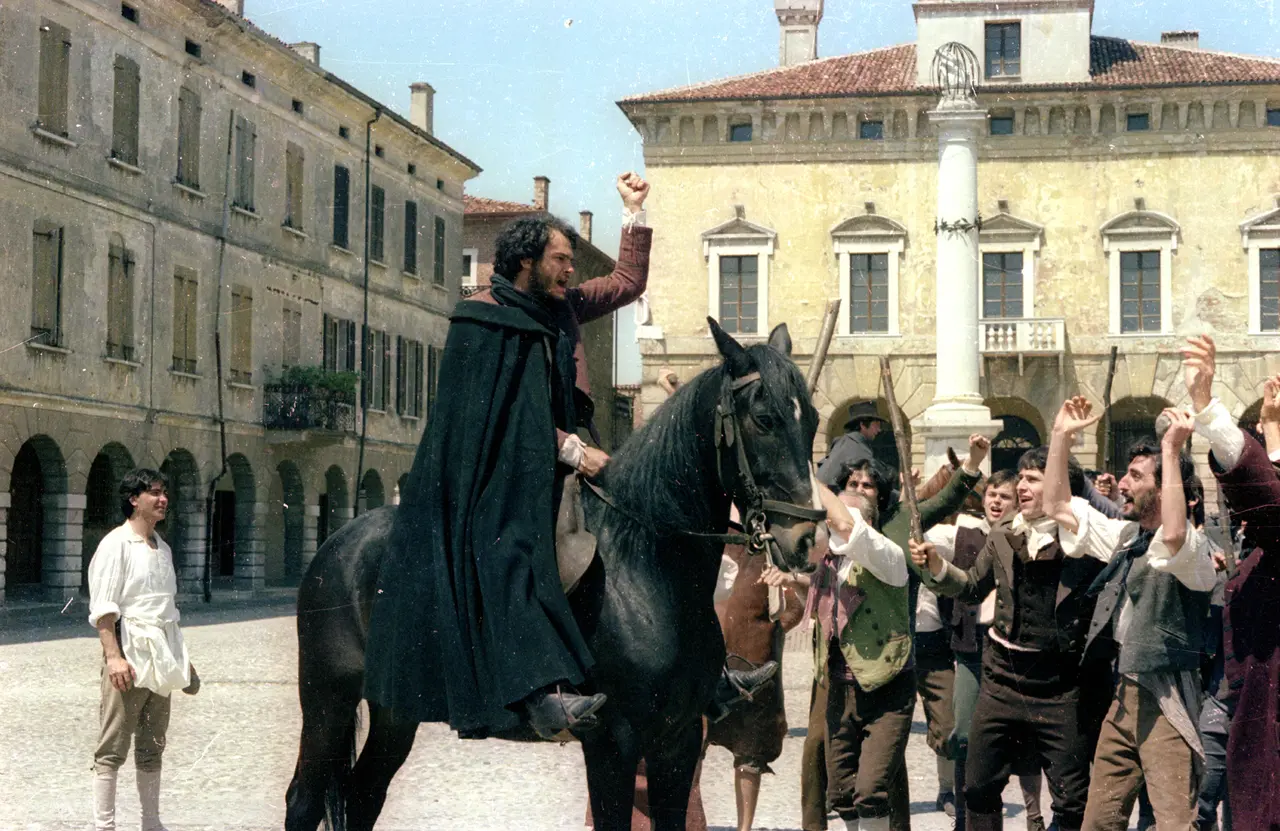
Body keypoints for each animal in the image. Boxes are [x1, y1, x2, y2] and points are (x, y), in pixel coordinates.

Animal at [284, 318, 824, 831]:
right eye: (764, 419)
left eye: (814, 418)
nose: (806, 540)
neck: (646, 567)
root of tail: (337, 545)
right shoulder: (614, 742)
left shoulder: (679, 738)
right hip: (328, 701)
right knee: (304, 801)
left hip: (396, 710)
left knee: (363, 796)